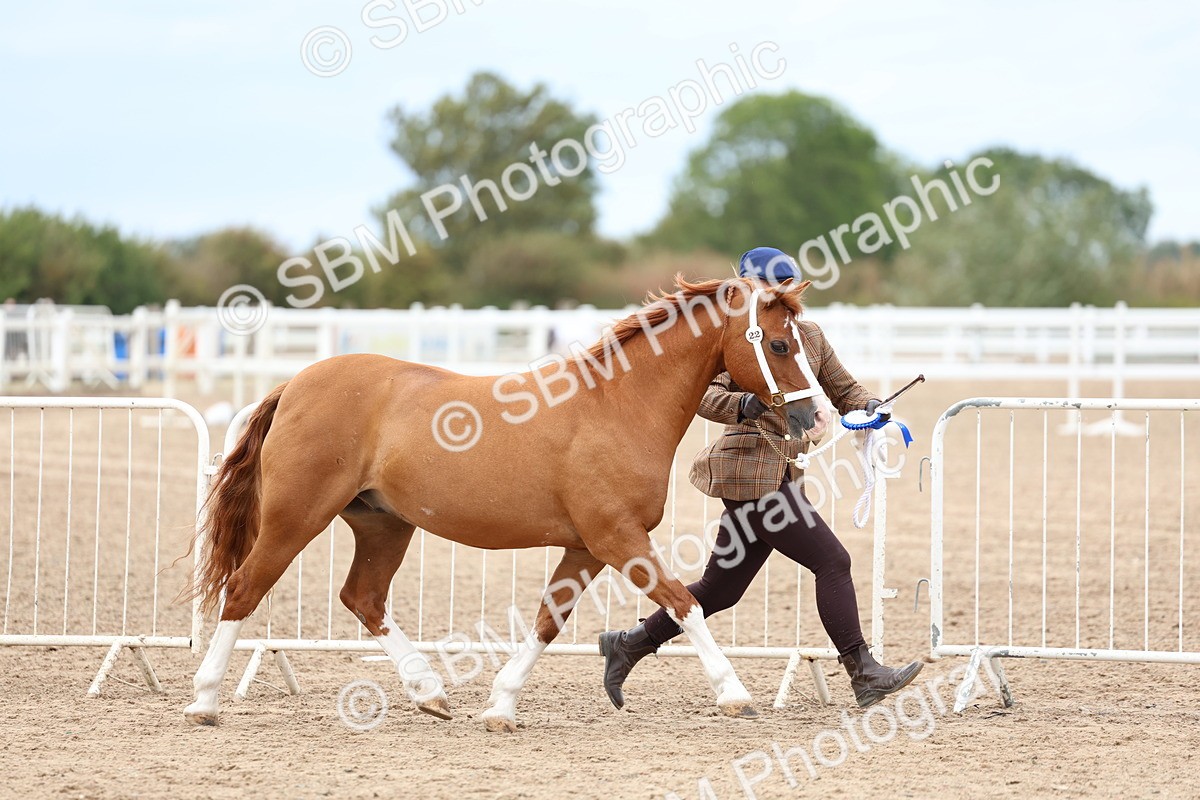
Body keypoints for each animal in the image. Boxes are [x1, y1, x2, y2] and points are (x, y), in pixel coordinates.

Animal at [183, 274, 820, 731]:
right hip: (296, 517)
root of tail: (295, 384)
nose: (811, 419)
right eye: (779, 343)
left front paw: (500, 707)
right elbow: (684, 603)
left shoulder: (586, 548)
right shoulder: (618, 539)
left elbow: (548, 621)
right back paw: (205, 701)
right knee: (244, 589)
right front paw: (735, 695)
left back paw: (431, 693)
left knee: (363, 598)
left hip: (383, 524)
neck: (616, 407)